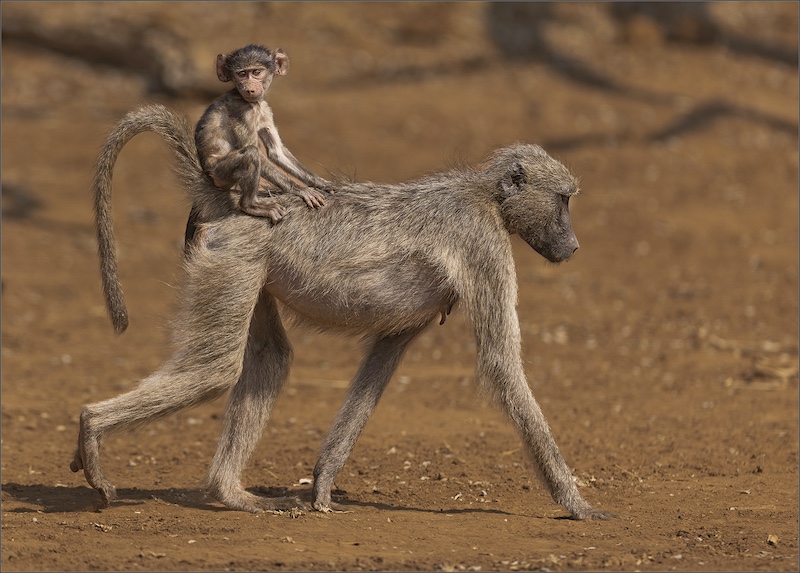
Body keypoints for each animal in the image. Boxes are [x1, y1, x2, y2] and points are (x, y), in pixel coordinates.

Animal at [74, 103, 612, 520]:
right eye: (563, 201)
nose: (574, 246)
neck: (489, 197)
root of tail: (230, 198)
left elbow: (382, 359)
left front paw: (322, 483)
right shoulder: (483, 244)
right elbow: (502, 366)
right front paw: (577, 505)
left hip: (249, 266)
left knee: (269, 359)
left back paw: (231, 493)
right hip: (235, 255)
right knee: (216, 369)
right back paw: (92, 428)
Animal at [194, 44, 332, 223]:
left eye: (256, 72)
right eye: (242, 74)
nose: (250, 89)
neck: (253, 104)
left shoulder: (265, 110)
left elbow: (276, 152)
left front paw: (320, 182)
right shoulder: (242, 112)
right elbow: (258, 153)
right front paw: (301, 190)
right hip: (220, 173)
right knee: (251, 154)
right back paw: (250, 206)